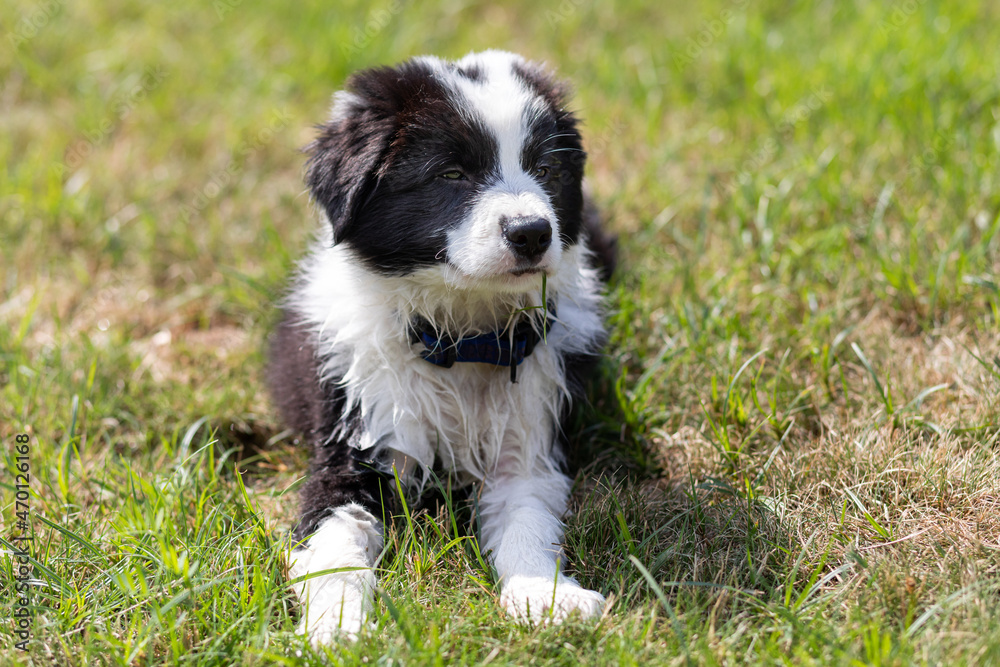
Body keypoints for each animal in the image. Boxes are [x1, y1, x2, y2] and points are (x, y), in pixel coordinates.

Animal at [272, 49, 616, 644]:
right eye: (451, 174)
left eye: (546, 170)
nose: (532, 232)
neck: (463, 337)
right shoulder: (352, 439)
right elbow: (335, 543)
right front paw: (340, 623)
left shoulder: (528, 439)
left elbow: (528, 521)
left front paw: (545, 597)